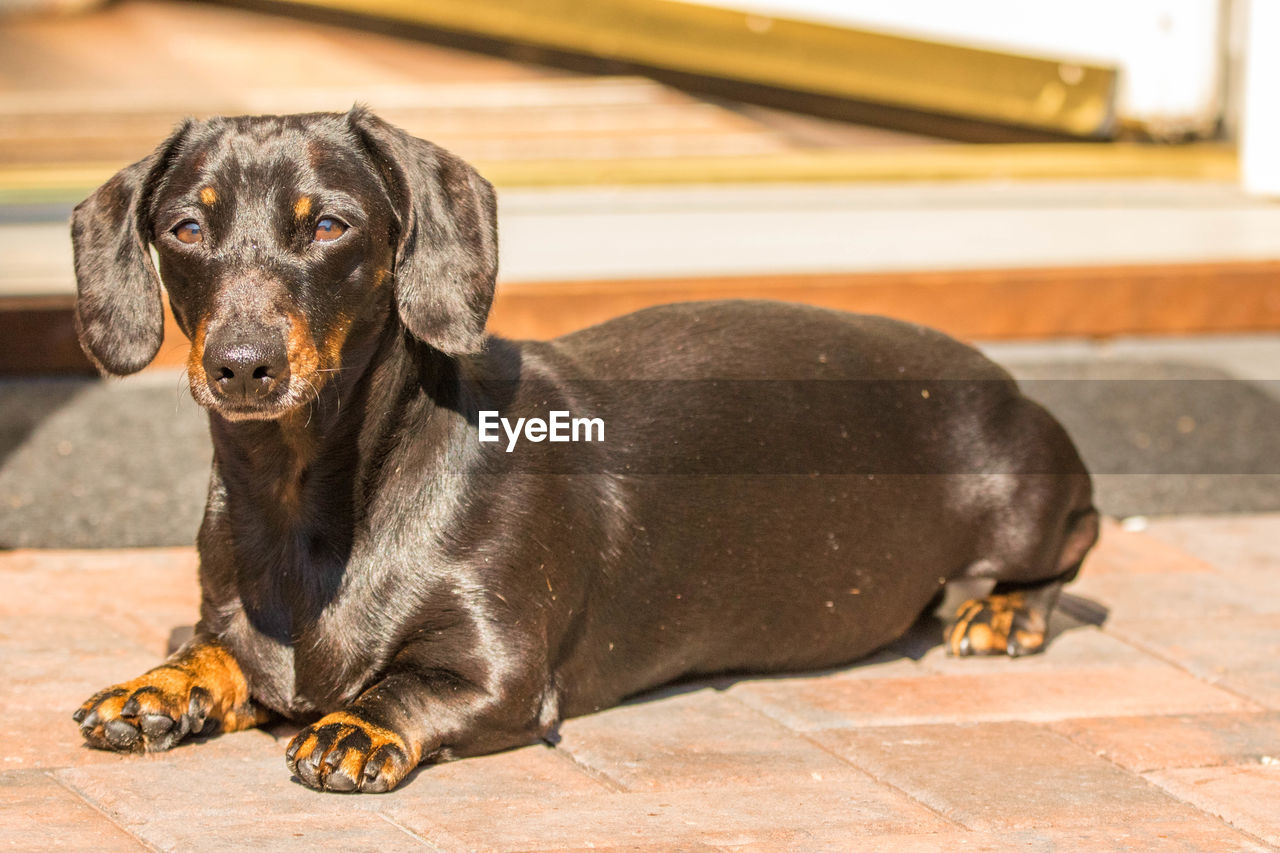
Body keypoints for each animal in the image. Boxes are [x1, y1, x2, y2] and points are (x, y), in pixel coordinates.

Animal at [67, 108, 1100, 788]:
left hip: (1020, 500)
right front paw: (158, 686)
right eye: (184, 226)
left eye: (328, 223)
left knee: (1075, 544)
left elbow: (407, 686)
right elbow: (209, 649)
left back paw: (1007, 612)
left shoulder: (500, 670)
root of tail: (1004, 377)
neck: (308, 504)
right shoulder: (231, 619)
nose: (243, 367)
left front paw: (357, 723)